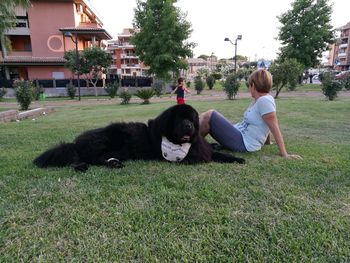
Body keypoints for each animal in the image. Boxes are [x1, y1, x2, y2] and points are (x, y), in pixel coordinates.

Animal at [34, 104, 245, 172]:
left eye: (192, 119)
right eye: (180, 119)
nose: (189, 126)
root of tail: (76, 142)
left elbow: (217, 154)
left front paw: (236, 158)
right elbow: (201, 158)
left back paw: (113, 164)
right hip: (109, 141)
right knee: (84, 158)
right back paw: (82, 166)